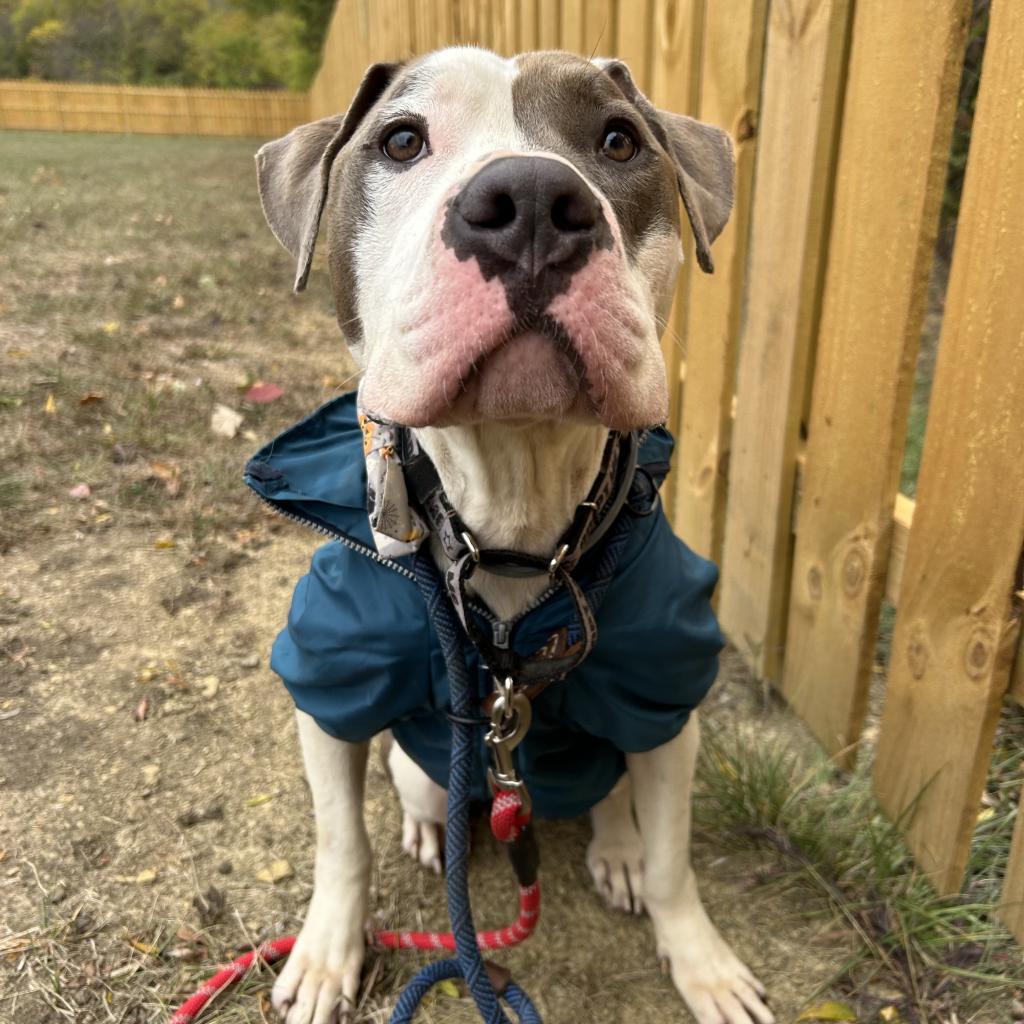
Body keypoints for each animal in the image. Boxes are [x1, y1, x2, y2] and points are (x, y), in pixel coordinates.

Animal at [249, 46, 770, 1024]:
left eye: (620, 140)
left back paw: (615, 849)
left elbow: (675, 861)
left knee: (616, 799)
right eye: (401, 140)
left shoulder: (664, 692)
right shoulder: (331, 681)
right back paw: (429, 827)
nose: (528, 198)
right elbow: (341, 844)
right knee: (423, 789)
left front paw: (703, 961)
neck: (511, 521)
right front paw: (329, 954)